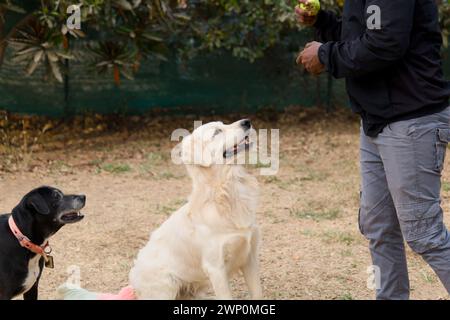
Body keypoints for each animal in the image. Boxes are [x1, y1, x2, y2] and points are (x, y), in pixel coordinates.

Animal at [127, 119, 260, 298]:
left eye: (224, 124)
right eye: (217, 132)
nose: (247, 122)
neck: (226, 191)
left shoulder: (249, 255)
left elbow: (258, 292)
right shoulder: (215, 267)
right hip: (167, 284)